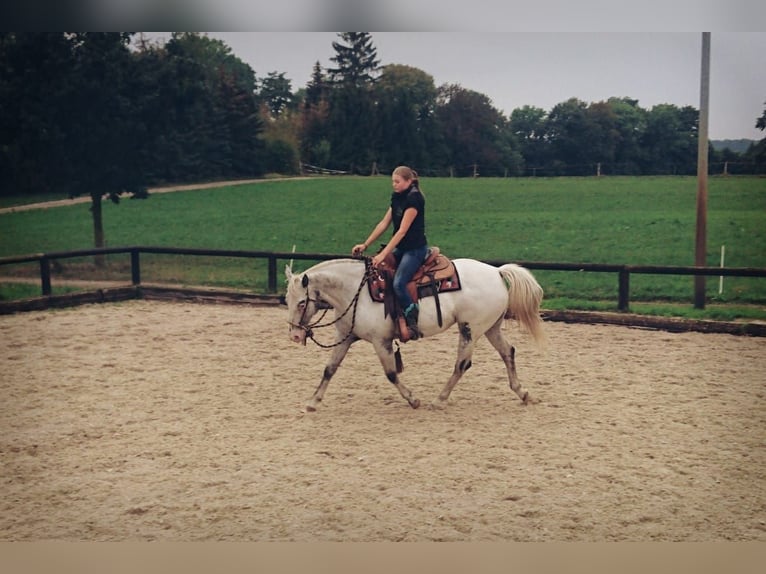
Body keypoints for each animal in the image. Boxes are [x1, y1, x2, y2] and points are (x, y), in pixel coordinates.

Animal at [286, 258, 544, 412]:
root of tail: (497, 271)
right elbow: (329, 369)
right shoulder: (346, 337)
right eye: (287, 299)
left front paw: (413, 399)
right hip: (491, 327)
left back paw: (439, 399)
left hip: (470, 328)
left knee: (462, 364)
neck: (355, 292)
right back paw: (523, 393)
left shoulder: (381, 342)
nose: (295, 336)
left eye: (301, 303)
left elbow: (391, 374)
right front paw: (313, 401)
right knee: (508, 352)